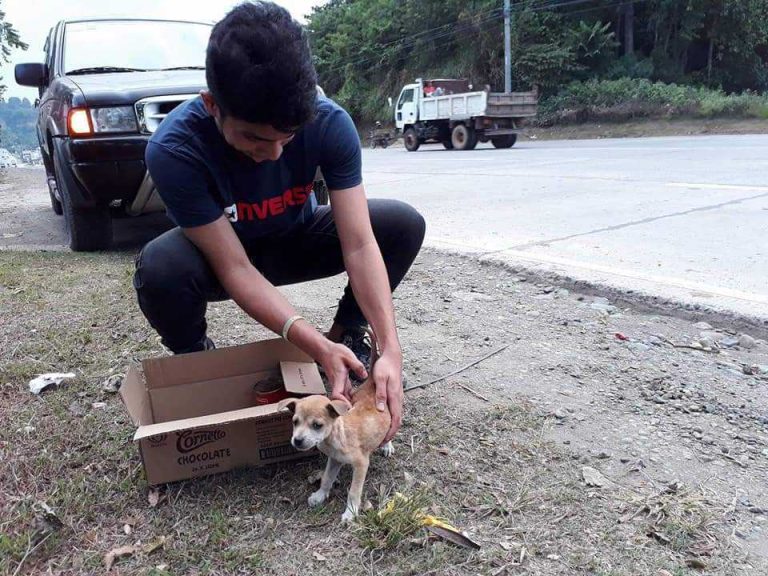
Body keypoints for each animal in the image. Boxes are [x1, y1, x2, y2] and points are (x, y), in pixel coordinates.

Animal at [278, 380, 396, 524]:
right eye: (295, 422)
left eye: (317, 425)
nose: (297, 440)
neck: (338, 436)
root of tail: (372, 383)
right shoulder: (335, 460)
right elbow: (327, 478)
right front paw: (320, 495)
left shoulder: (361, 464)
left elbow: (354, 492)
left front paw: (350, 512)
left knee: (388, 433)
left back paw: (386, 446)